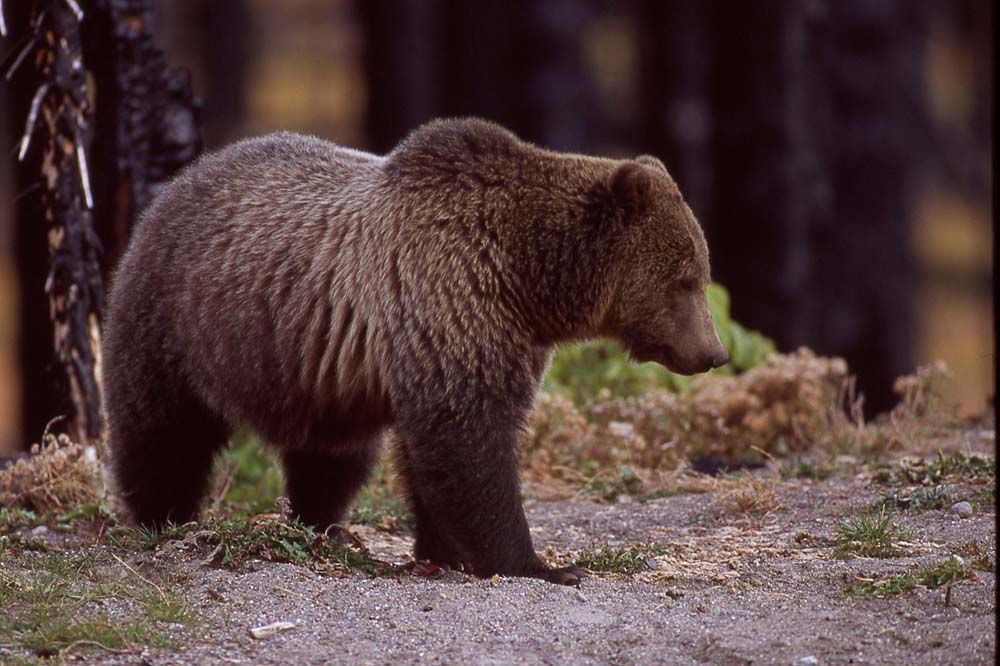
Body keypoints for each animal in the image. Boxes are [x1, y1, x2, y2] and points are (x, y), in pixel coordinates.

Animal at [102, 117, 728, 586]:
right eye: (686, 279)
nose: (713, 353)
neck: (527, 277)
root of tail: (176, 183)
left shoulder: (498, 338)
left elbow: (443, 450)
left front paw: (444, 549)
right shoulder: (452, 303)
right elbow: (469, 443)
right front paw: (538, 564)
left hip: (317, 377)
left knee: (332, 457)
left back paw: (321, 526)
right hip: (175, 316)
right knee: (162, 429)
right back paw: (164, 518)